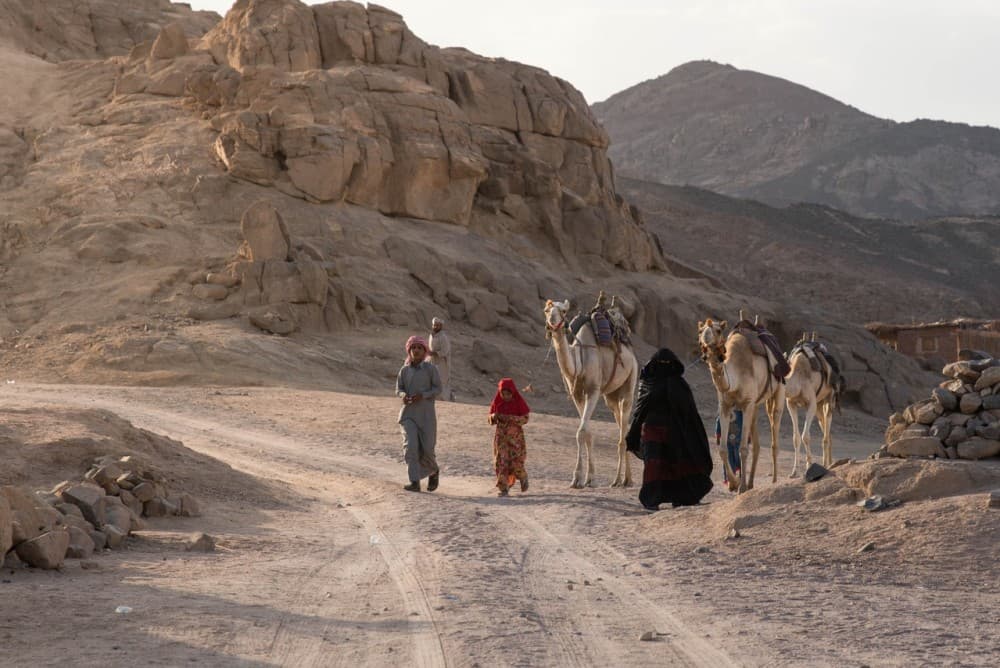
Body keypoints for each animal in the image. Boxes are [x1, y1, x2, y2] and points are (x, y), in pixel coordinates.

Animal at [543, 299, 639, 488]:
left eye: (563, 311)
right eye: (547, 310)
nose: (552, 321)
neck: (579, 362)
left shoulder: (593, 391)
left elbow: (581, 432)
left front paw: (577, 478)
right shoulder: (577, 396)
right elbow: (587, 433)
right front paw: (589, 478)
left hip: (630, 381)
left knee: (624, 420)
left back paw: (621, 480)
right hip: (611, 397)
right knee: (620, 425)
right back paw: (624, 479)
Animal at [698, 318, 785, 493]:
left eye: (718, 330)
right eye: (701, 331)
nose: (705, 344)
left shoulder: (747, 403)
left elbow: (743, 448)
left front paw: (741, 486)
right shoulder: (725, 405)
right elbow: (722, 449)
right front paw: (735, 483)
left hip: (778, 392)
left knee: (774, 429)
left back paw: (773, 481)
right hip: (756, 405)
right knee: (757, 444)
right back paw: (751, 483)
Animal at [784, 339, 838, 474]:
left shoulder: (811, 404)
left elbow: (805, 437)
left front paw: (809, 466)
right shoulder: (790, 403)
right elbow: (796, 438)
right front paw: (794, 471)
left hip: (829, 399)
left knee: (826, 432)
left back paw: (826, 464)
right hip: (819, 405)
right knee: (826, 430)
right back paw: (830, 462)